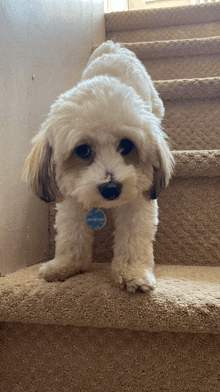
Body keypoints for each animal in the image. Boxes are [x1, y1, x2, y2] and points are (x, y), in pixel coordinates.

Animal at [22, 41, 174, 294]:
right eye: (83, 150)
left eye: (127, 145)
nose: (111, 188)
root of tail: (113, 47)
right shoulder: (71, 196)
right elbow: (71, 234)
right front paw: (65, 266)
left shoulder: (140, 197)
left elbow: (133, 237)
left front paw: (134, 273)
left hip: (155, 103)